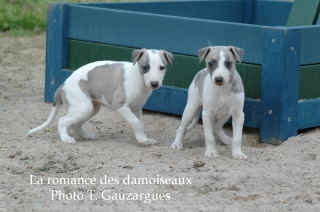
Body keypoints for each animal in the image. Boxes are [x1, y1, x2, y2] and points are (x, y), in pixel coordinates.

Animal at [28, 48, 174, 145]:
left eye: (162, 67)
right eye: (145, 67)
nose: (154, 83)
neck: (138, 78)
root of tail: (63, 84)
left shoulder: (137, 108)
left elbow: (140, 123)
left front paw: (143, 139)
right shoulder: (120, 105)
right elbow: (135, 122)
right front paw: (142, 139)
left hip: (91, 108)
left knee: (76, 124)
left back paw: (87, 136)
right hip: (83, 107)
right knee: (62, 121)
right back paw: (66, 138)